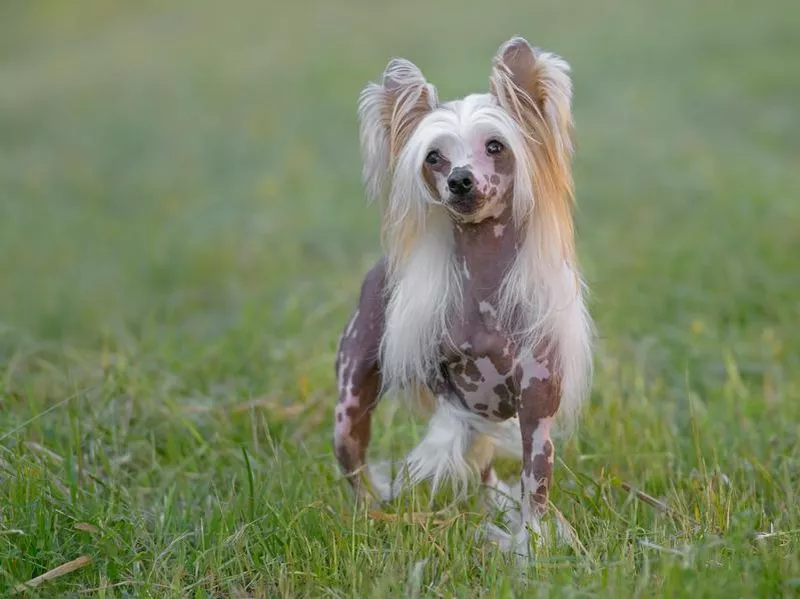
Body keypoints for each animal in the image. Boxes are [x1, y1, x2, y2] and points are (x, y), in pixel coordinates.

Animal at [332, 35, 592, 556]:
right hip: (348, 407)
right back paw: (372, 517)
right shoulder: (451, 389)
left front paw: (531, 544)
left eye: (495, 146)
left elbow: (535, 483)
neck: (485, 286)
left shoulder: (537, 408)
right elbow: (457, 429)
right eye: (434, 156)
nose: (460, 180)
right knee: (355, 466)